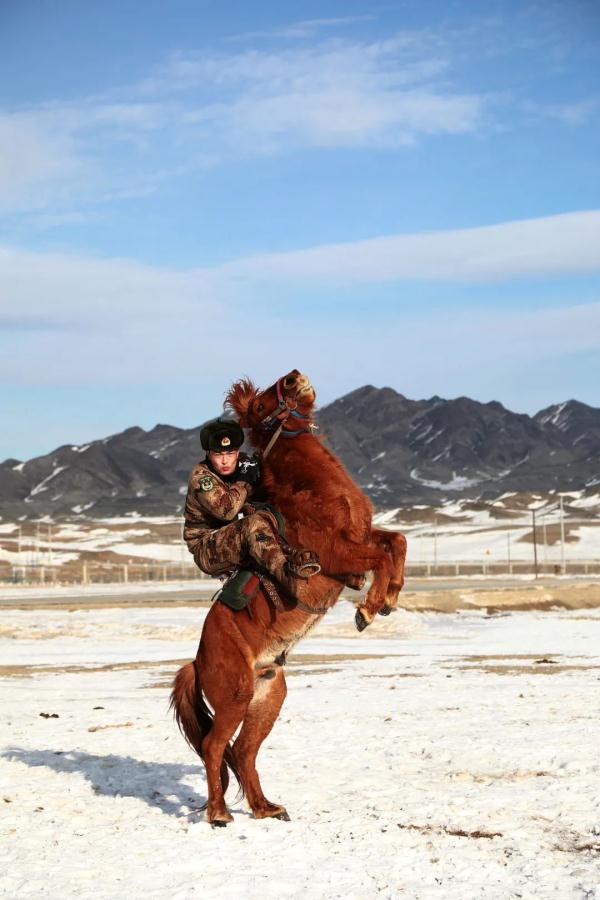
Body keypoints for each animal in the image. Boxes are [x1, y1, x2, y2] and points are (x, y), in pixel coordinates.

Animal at [171, 370, 410, 828]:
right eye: (262, 405)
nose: (296, 377)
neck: (312, 487)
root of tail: (198, 661)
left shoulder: (361, 536)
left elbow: (396, 542)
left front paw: (388, 597)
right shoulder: (336, 552)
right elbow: (381, 555)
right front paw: (368, 609)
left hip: (267, 698)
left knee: (243, 751)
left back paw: (266, 808)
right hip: (235, 697)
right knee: (215, 747)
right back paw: (218, 813)